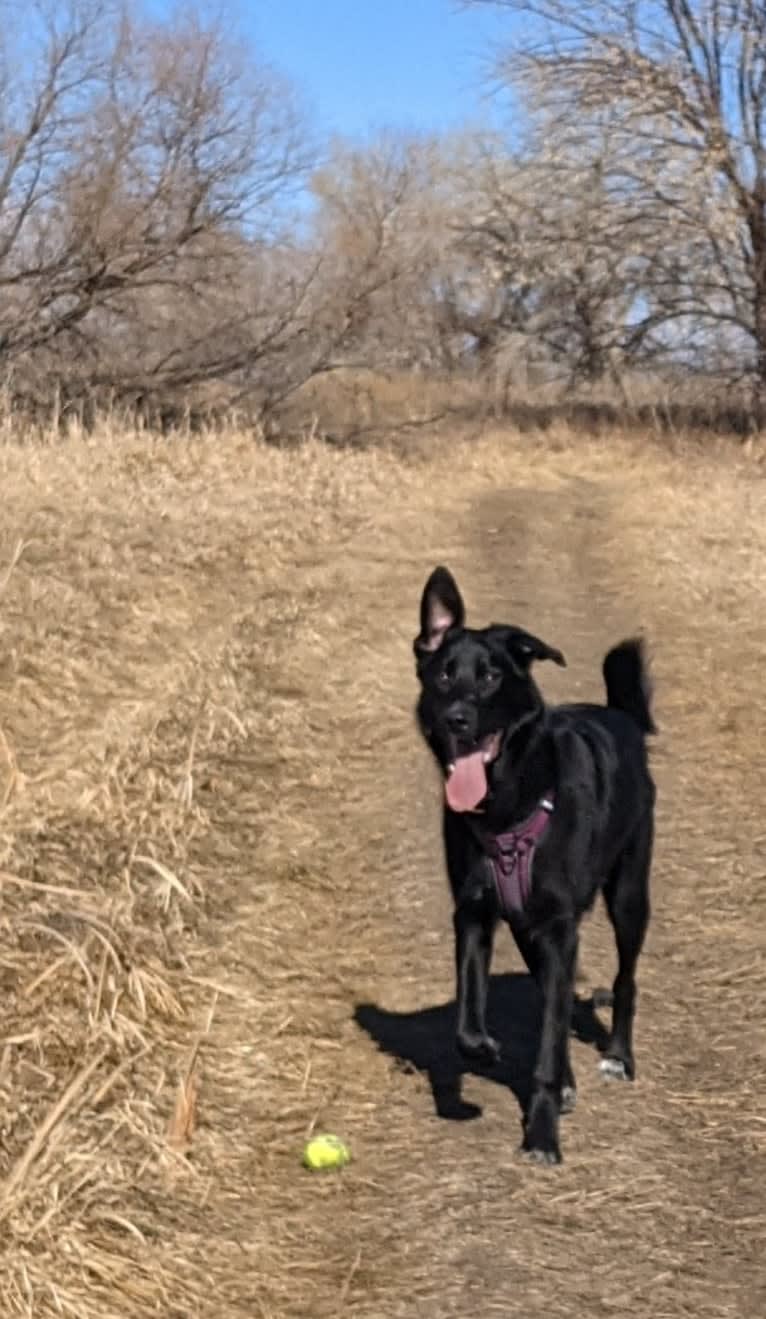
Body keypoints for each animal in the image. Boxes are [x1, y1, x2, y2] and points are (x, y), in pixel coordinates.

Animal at [413, 567, 653, 1165]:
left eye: (491, 676)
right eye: (444, 675)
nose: (458, 719)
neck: (506, 800)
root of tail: (620, 714)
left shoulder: (559, 927)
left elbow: (548, 1037)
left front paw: (541, 1135)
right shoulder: (475, 912)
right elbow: (469, 1021)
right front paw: (485, 1051)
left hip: (629, 895)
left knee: (625, 980)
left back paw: (618, 1056)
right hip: (528, 929)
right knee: (554, 995)